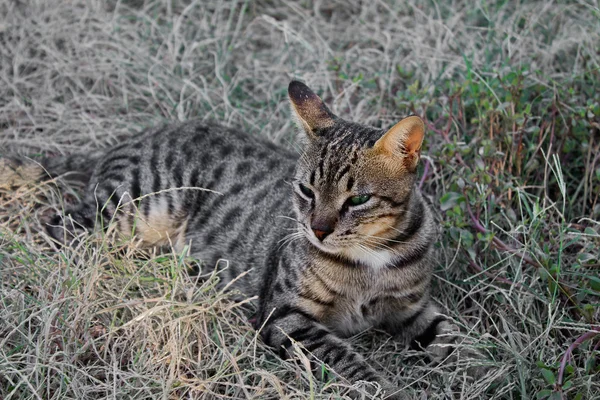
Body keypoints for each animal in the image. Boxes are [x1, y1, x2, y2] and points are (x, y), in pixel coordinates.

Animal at [0, 80, 466, 396]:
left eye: (359, 199)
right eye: (307, 191)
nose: (317, 229)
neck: (372, 257)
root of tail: (128, 140)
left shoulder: (413, 308)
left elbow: (456, 341)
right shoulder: (285, 316)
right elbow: (350, 363)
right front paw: (388, 388)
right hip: (129, 209)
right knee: (57, 228)